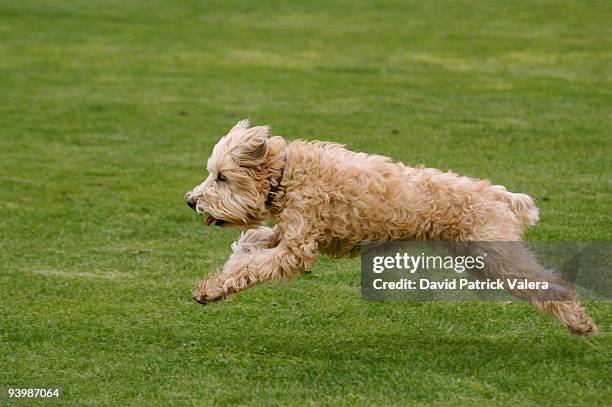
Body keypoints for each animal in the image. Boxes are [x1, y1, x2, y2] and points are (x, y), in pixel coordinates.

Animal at [186, 119, 596, 336]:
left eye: (221, 177)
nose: (191, 200)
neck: (287, 175)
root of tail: (498, 195)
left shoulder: (297, 247)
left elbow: (255, 264)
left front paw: (214, 288)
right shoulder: (287, 232)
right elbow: (252, 242)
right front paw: (217, 282)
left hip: (498, 257)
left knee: (552, 284)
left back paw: (581, 324)